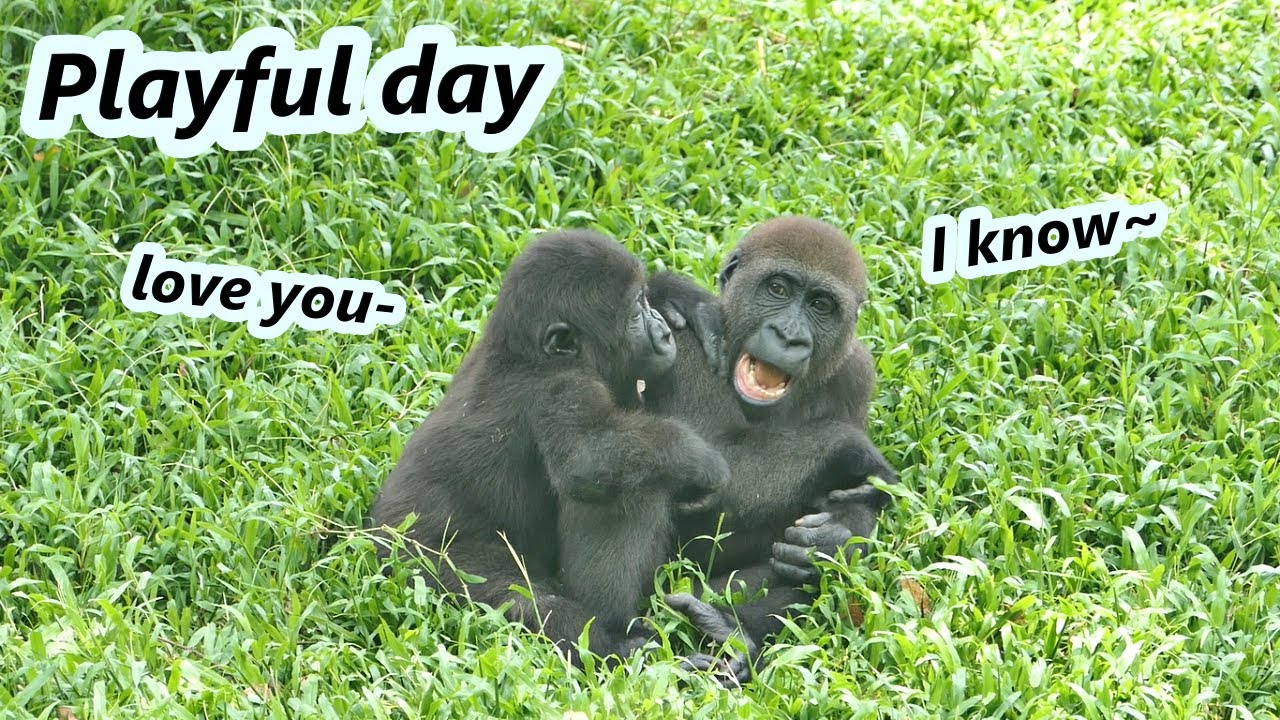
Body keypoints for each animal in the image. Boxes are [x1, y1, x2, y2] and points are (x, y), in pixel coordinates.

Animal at [367, 229, 730, 663]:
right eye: (635, 313)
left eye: (645, 302)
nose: (660, 326)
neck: (528, 355)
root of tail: (374, 533)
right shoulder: (561, 389)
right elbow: (587, 459)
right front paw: (701, 462)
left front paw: (681, 299)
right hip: (422, 559)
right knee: (524, 596)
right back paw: (610, 644)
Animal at [642, 216, 899, 682]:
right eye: (777, 288)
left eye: (820, 305)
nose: (789, 335)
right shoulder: (686, 340)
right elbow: (710, 463)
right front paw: (854, 452)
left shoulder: (856, 372)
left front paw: (839, 535)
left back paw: (733, 630)